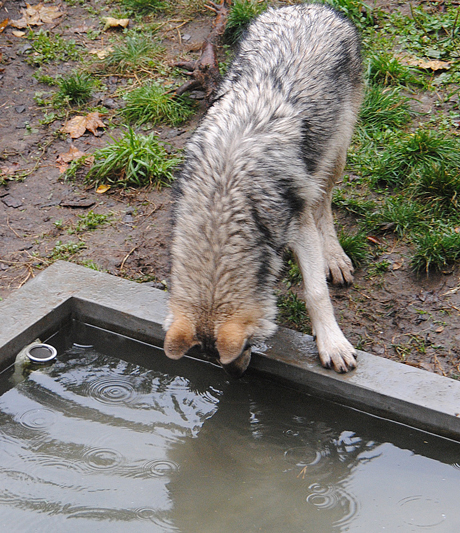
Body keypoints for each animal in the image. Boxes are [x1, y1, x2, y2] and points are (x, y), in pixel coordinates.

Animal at [164, 5, 362, 378]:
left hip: (335, 155)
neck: (223, 192)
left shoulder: (299, 224)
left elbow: (316, 292)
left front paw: (332, 344)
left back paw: (334, 257)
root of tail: (307, 7)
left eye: (247, 346)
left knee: (324, 203)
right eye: (207, 357)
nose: (236, 375)